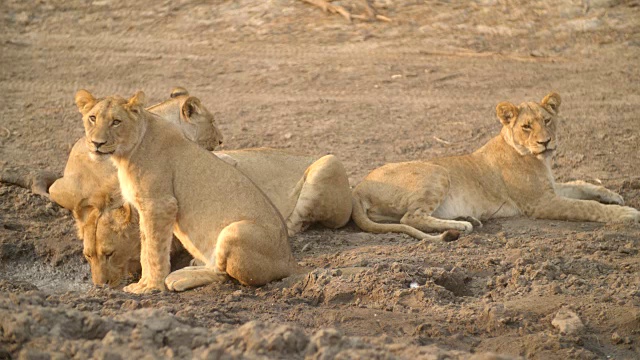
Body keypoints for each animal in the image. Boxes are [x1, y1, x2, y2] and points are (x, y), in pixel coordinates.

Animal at [76, 89, 304, 292]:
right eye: (92, 118)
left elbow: (154, 251)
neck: (125, 154)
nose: (96, 143)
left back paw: (179, 279)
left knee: (224, 275)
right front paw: (143, 284)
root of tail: (290, 261)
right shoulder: (143, 208)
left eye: (116, 121)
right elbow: (145, 249)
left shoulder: (160, 204)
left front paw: (151, 287)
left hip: (237, 230)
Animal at [352, 91, 636, 239]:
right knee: (411, 216)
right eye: (526, 126)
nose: (545, 142)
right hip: (437, 171)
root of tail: (358, 188)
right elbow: (586, 207)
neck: (538, 159)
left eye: (547, 120)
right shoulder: (540, 202)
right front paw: (626, 213)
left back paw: (467, 218)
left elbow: (582, 185)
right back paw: (462, 226)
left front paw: (614, 196)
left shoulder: (551, 189)